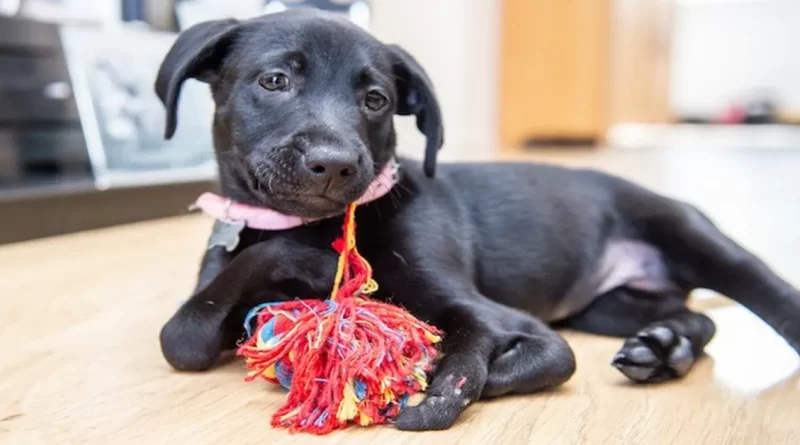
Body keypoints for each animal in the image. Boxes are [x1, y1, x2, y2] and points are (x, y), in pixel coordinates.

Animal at [155, 8, 800, 428]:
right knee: (698, 318)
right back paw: (665, 347)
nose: (334, 164)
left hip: (696, 240)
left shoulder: (488, 312)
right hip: (606, 308)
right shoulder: (213, 289)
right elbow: (180, 337)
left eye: (376, 100)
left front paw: (439, 384)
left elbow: (513, 354)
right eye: (275, 81)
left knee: (766, 295)